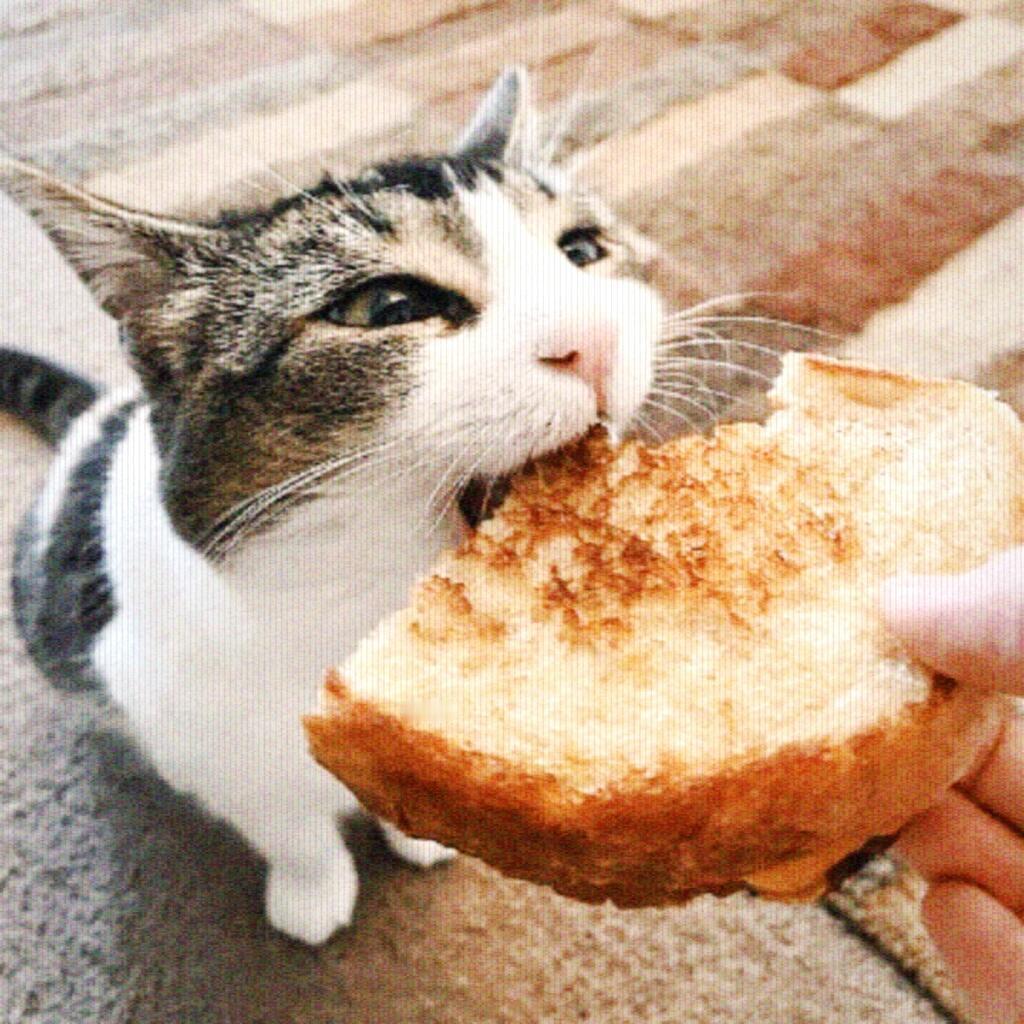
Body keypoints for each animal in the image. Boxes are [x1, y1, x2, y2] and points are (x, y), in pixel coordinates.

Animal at [0, 68, 664, 945]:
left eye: (582, 251)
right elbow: (292, 829)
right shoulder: (195, 734)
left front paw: (417, 831)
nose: (595, 337)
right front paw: (312, 896)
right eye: (390, 307)